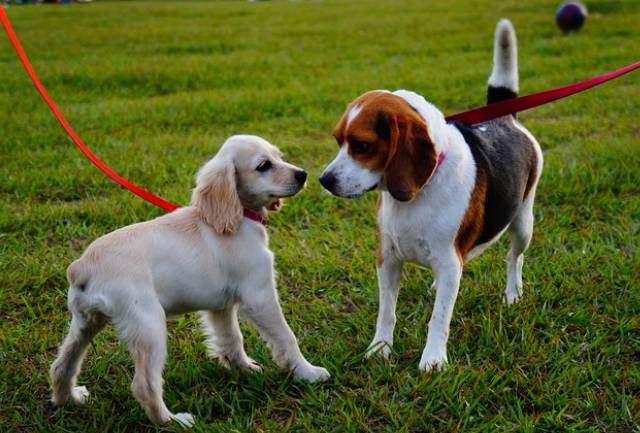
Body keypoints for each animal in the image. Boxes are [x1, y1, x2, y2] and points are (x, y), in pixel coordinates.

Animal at [50, 134, 330, 426]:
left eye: (279, 156)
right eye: (264, 165)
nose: (303, 174)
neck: (239, 217)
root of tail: (82, 266)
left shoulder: (222, 307)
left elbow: (231, 338)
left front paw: (243, 368)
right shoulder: (260, 295)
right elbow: (287, 337)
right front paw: (308, 372)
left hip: (85, 323)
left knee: (61, 365)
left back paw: (69, 399)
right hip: (149, 326)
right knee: (144, 384)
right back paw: (173, 420)